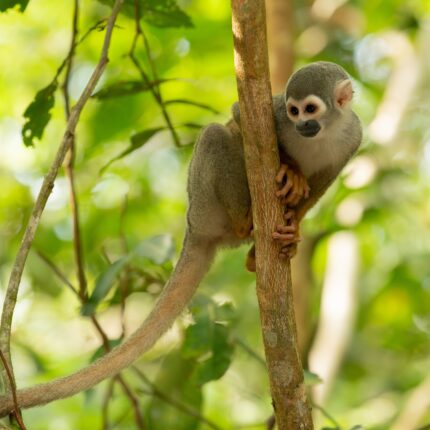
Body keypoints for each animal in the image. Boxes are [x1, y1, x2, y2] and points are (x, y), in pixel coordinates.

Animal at [0, 61, 362, 416]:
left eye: (311, 109)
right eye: (293, 110)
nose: (302, 125)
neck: (325, 131)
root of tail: (197, 230)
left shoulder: (353, 137)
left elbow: (327, 176)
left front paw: (294, 224)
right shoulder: (276, 116)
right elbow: (241, 117)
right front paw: (292, 170)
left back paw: (260, 249)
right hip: (203, 202)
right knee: (218, 135)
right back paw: (245, 222)